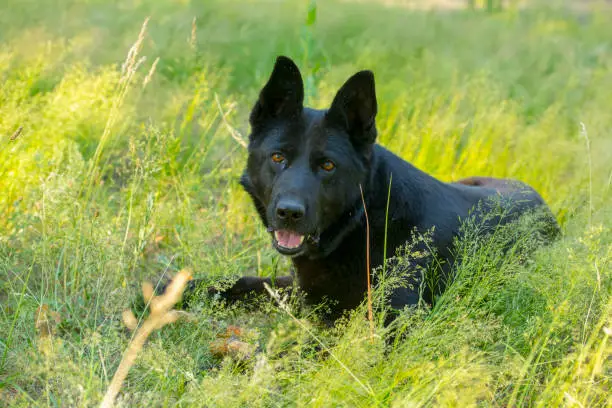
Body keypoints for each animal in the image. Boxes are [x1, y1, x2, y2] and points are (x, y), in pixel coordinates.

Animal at [197, 55, 560, 320]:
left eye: (327, 165)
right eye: (277, 157)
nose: (289, 213)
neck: (364, 218)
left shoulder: (395, 321)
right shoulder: (299, 288)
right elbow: (242, 281)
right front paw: (186, 287)